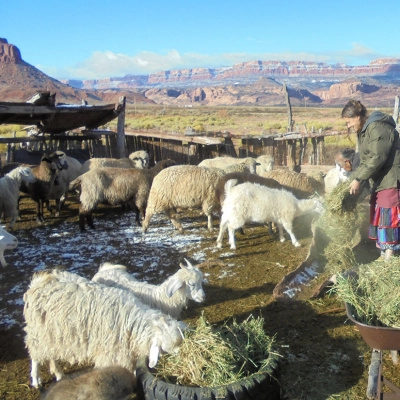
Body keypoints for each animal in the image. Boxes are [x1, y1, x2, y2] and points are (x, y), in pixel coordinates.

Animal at [24, 268, 187, 388]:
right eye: (167, 347)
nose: (183, 357)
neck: (131, 323)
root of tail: (39, 281)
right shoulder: (110, 352)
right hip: (37, 330)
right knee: (35, 356)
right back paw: (36, 379)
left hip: (52, 332)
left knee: (51, 354)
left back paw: (58, 374)